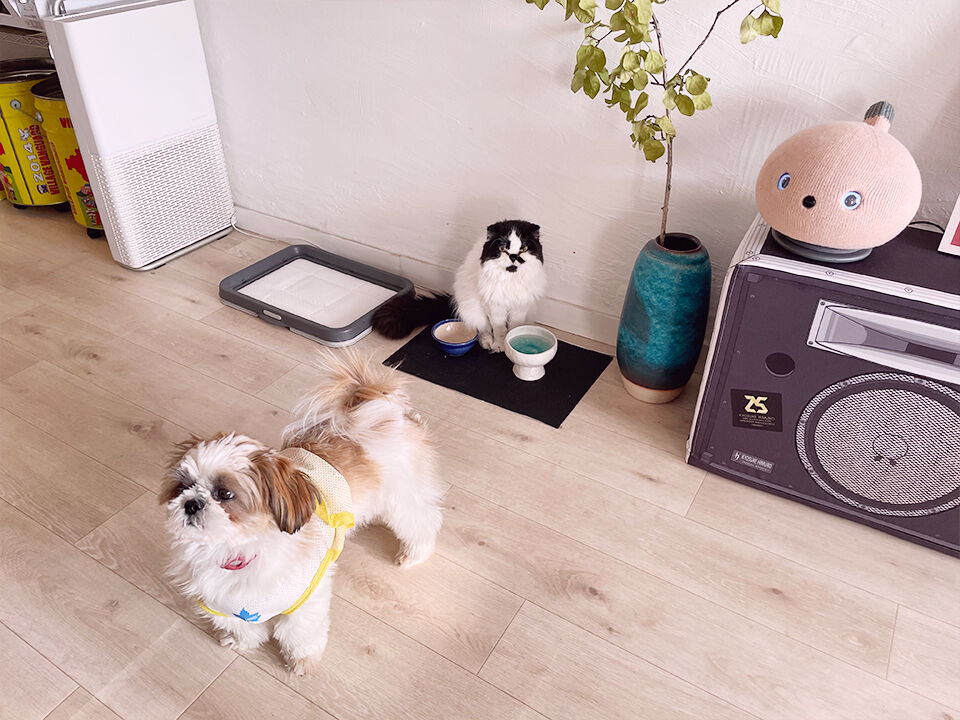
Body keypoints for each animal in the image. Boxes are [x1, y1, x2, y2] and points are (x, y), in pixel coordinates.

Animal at [161, 349, 443, 675]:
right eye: (182, 487)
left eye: (225, 494)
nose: (192, 503)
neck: (235, 554)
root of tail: (387, 411)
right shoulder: (223, 604)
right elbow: (243, 627)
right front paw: (243, 643)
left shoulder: (306, 599)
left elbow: (299, 633)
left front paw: (302, 661)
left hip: (403, 497)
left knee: (423, 521)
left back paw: (413, 554)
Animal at [372, 220, 546, 352]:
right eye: (502, 249)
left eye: (523, 248)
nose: (514, 257)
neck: (510, 280)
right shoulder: (494, 306)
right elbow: (499, 330)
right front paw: (499, 346)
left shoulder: (520, 306)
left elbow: (513, 327)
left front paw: (510, 346)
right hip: (473, 307)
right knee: (482, 329)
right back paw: (487, 343)